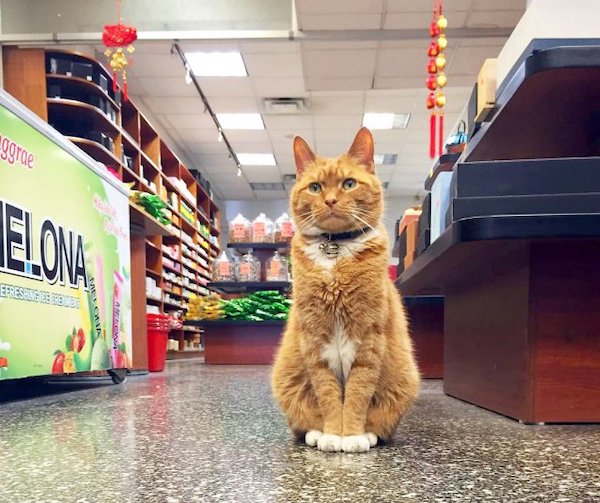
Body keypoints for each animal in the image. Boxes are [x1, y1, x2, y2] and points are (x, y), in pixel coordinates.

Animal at [274, 127, 422, 452]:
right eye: (315, 187)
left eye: (349, 183)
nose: (330, 200)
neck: (335, 250)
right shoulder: (315, 337)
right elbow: (328, 393)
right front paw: (333, 432)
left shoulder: (369, 337)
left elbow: (357, 391)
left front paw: (351, 434)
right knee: (303, 423)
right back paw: (316, 433)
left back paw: (368, 434)